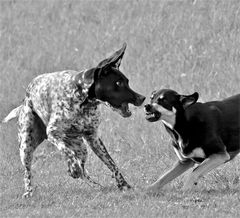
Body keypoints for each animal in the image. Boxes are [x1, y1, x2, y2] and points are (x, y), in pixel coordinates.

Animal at [2, 43, 144, 198]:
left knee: (84, 170)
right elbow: (67, 152)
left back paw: (95, 185)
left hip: (81, 148)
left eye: (127, 82)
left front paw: (123, 184)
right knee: (28, 173)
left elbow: (111, 163)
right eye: (118, 83)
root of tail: (25, 99)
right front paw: (73, 168)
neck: (83, 101)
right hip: (26, 147)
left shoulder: (93, 138)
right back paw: (29, 192)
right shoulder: (53, 133)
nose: (142, 98)